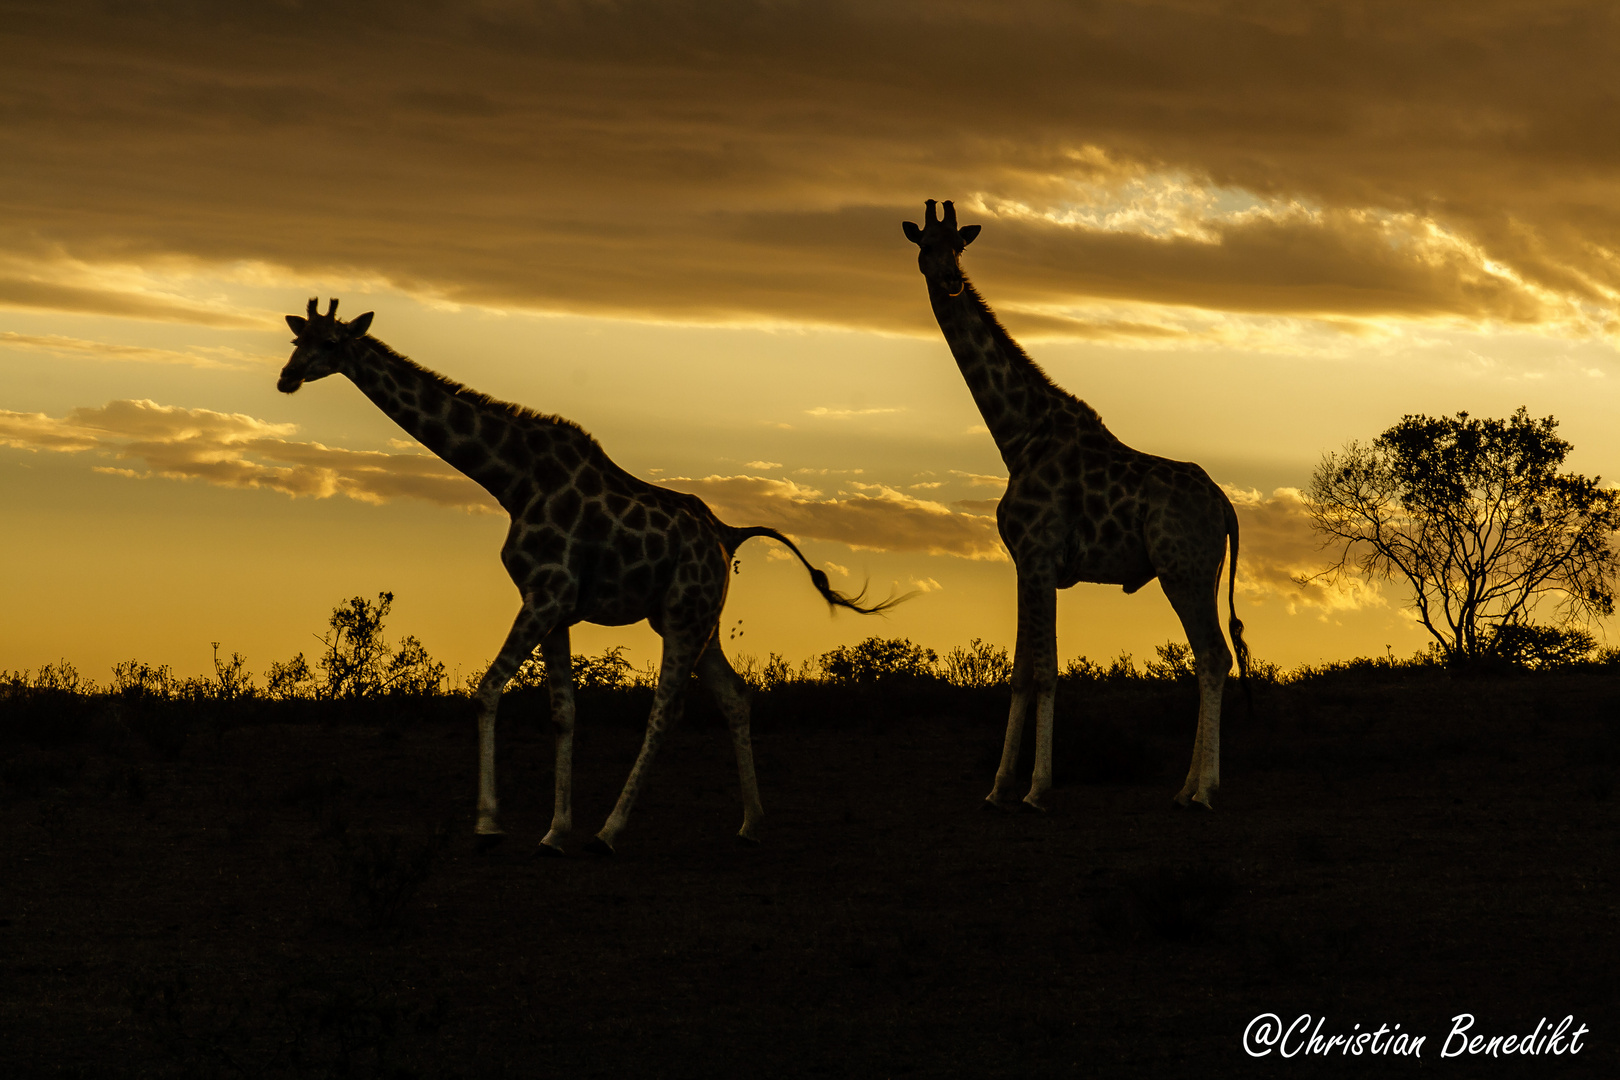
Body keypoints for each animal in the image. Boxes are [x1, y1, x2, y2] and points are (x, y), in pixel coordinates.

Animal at [272, 297, 894, 854]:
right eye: (298, 339)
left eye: (332, 343)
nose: (286, 377)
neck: (513, 479)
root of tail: (727, 534)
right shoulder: (556, 607)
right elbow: (563, 711)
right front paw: (553, 832)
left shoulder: (546, 595)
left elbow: (488, 690)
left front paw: (490, 826)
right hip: (696, 620)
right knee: (736, 697)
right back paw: (750, 826)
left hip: (684, 617)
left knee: (666, 710)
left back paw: (611, 833)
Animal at [900, 202, 1250, 809]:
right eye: (926, 246)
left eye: (959, 247)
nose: (949, 281)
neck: (1018, 435)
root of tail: (1225, 506)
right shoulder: (1024, 563)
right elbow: (1019, 670)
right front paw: (998, 788)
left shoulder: (1039, 555)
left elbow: (1045, 669)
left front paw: (1036, 789)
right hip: (1201, 574)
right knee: (1210, 657)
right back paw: (1186, 788)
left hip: (1180, 571)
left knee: (1212, 656)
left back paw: (1203, 792)